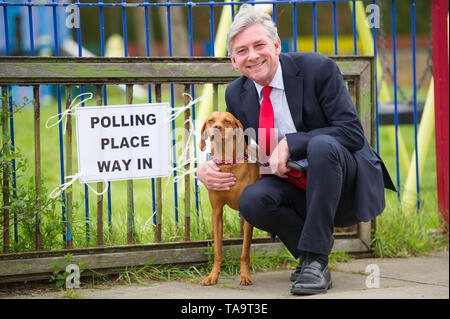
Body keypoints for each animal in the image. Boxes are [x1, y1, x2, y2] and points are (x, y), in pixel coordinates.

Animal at [200, 112, 260, 288]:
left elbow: (245, 252)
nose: (217, 127)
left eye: (227, 121)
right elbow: (218, 250)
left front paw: (244, 276)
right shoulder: (216, 212)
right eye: (211, 120)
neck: (227, 164)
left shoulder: (247, 216)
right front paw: (213, 276)